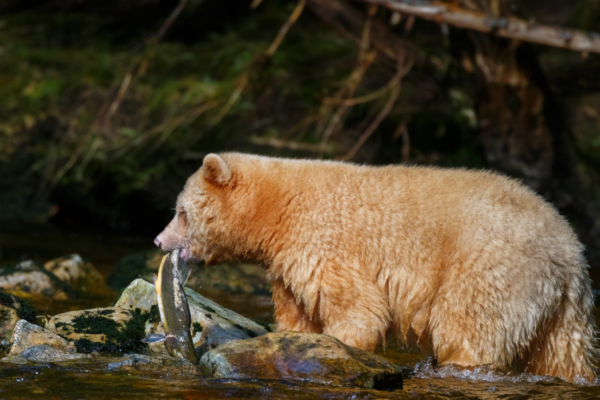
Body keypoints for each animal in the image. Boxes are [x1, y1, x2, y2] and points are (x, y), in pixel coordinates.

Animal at [154, 152, 596, 382]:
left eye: (181, 211)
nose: (159, 241)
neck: (279, 210)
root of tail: (568, 250)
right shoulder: (287, 264)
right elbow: (297, 315)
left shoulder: (324, 241)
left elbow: (356, 308)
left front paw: (343, 345)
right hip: (564, 309)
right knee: (564, 355)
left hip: (490, 270)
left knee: (468, 331)